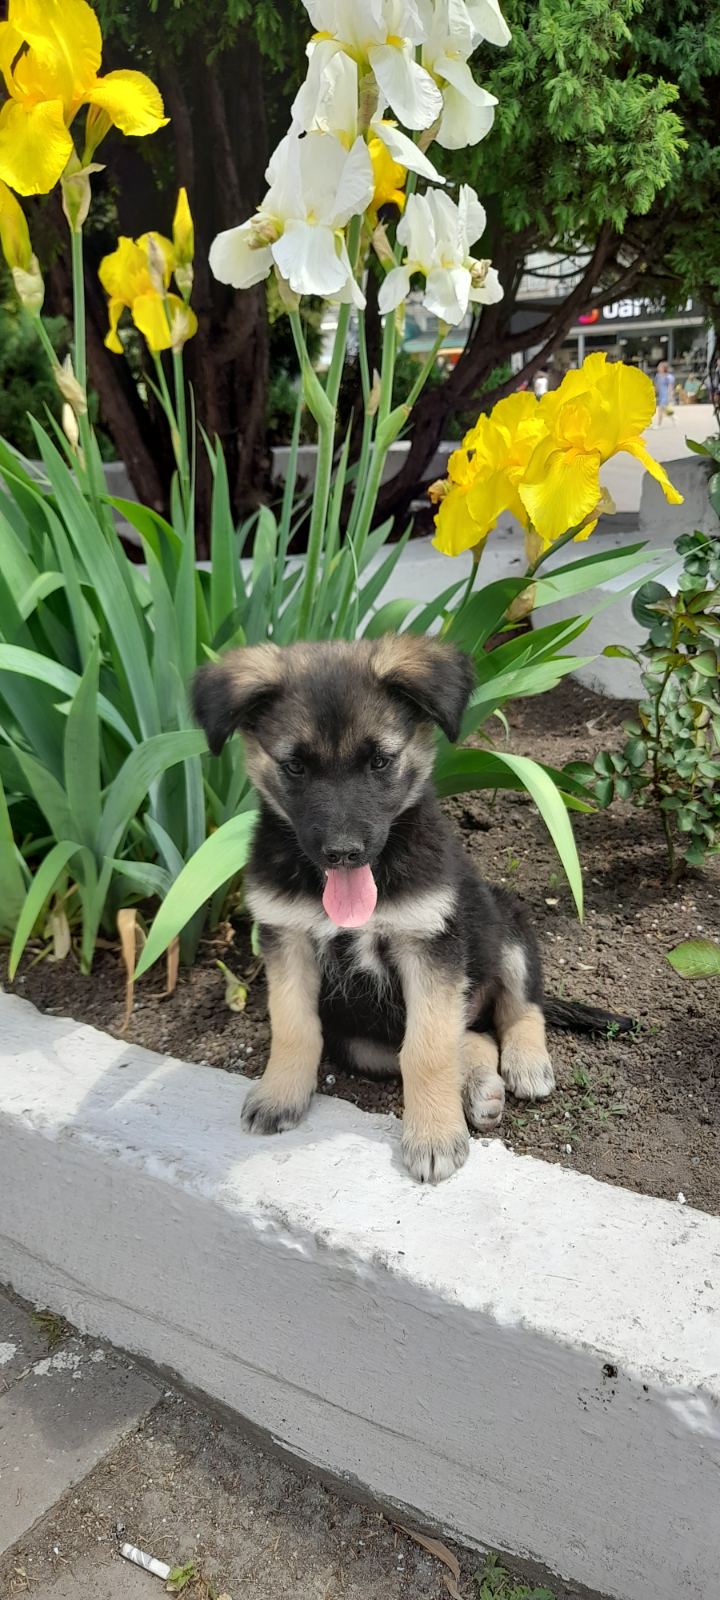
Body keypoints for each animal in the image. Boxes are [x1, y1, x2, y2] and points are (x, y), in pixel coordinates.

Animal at [195, 630, 624, 1184]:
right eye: (295, 766)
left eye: (379, 761)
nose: (343, 852)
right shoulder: (286, 938)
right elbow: (292, 1025)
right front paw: (280, 1094)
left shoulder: (430, 945)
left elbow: (428, 1050)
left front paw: (434, 1137)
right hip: (361, 1041)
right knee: (472, 1036)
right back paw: (480, 1086)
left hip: (505, 925)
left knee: (518, 1009)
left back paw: (526, 1063)